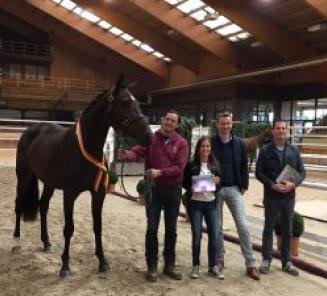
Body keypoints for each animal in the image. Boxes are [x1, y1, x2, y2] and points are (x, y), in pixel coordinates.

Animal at [12, 74, 152, 278]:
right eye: (126, 102)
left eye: (139, 103)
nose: (148, 135)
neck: (85, 148)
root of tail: (30, 130)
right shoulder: (69, 194)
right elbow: (69, 228)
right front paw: (65, 266)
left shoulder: (98, 194)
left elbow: (98, 226)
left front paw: (103, 262)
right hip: (23, 177)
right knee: (18, 205)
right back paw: (15, 243)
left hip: (49, 183)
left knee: (43, 206)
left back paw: (46, 243)